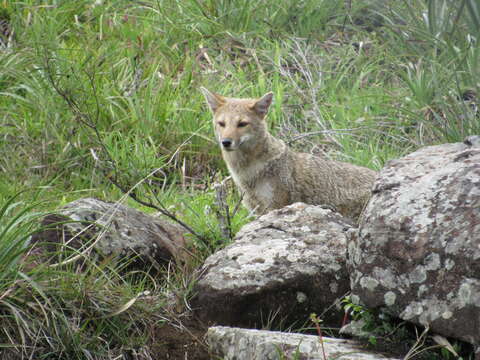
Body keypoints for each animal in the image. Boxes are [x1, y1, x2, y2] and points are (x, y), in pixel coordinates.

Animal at [201, 88, 376, 222]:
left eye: (242, 124)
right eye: (222, 124)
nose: (226, 142)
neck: (247, 173)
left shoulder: (275, 206)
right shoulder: (256, 210)